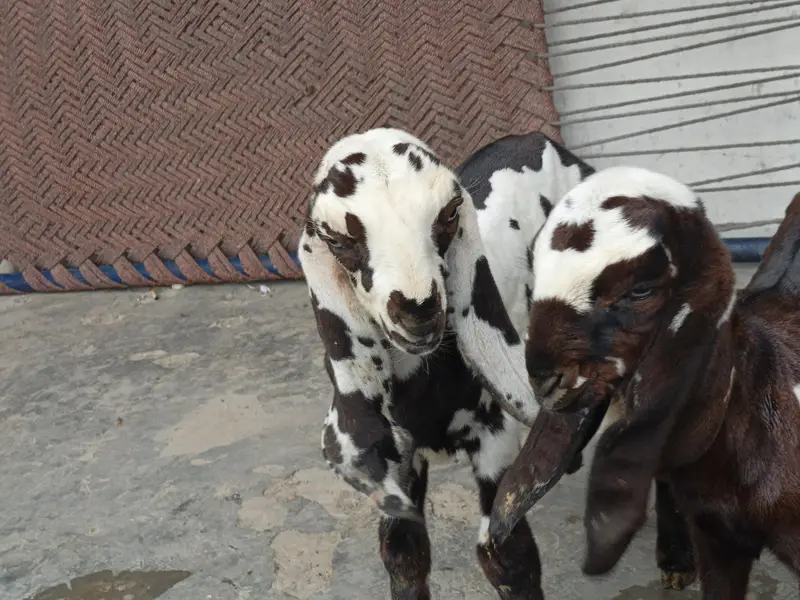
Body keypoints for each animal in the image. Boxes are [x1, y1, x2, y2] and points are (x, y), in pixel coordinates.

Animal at [298, 127, 593, 599]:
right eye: (337, 239)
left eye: (451, 213)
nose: (418, 310)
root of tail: (536, 137)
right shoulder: (398, 458)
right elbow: (403, 554)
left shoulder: (494, 435)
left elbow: (507, 556)